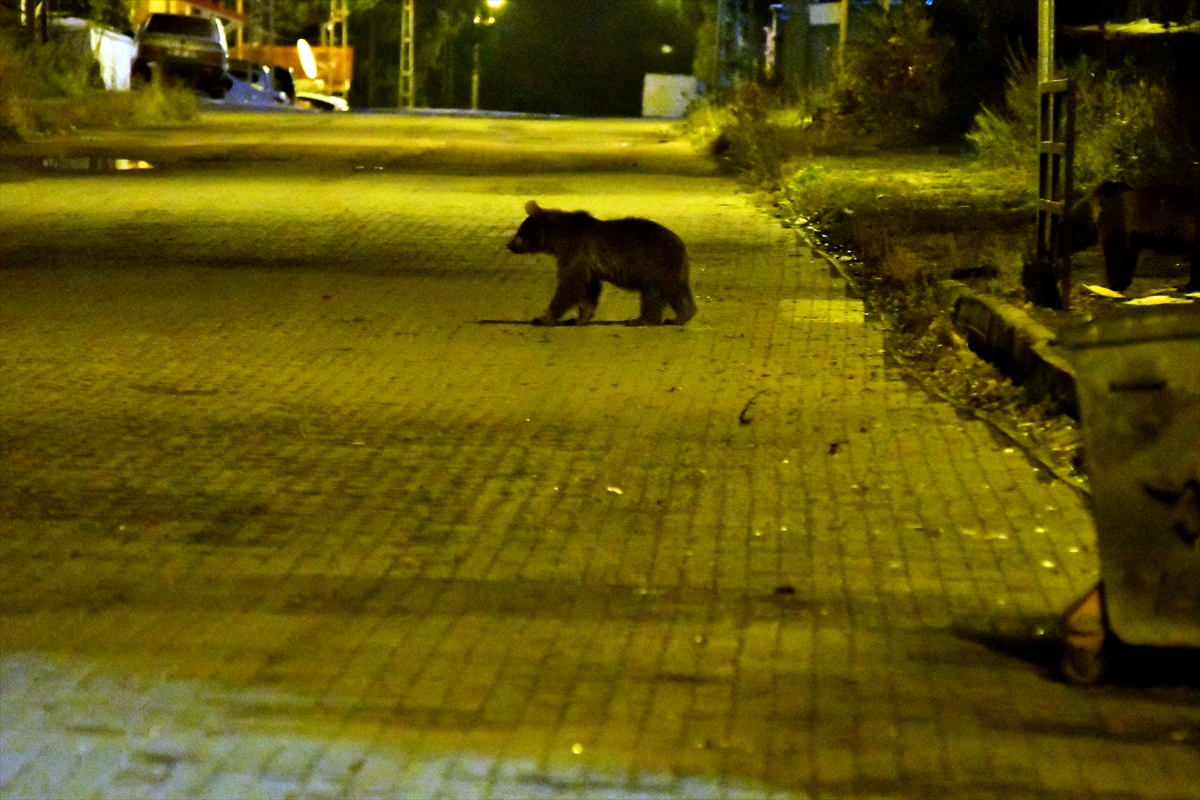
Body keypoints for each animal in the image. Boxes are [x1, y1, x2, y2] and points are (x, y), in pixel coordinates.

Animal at [504, 200, 696, 326]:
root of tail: (681, 245)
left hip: (654, 263)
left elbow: (570, 284)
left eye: (520, 232)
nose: (509, 245)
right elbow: (588, 287)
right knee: (677, 291)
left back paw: (642, 319)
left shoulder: (576, 251)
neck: (558, 240)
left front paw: (543, 318)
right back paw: (682, 315)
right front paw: (579, 318)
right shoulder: (587, 263)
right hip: (673, 268)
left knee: (654, 292)